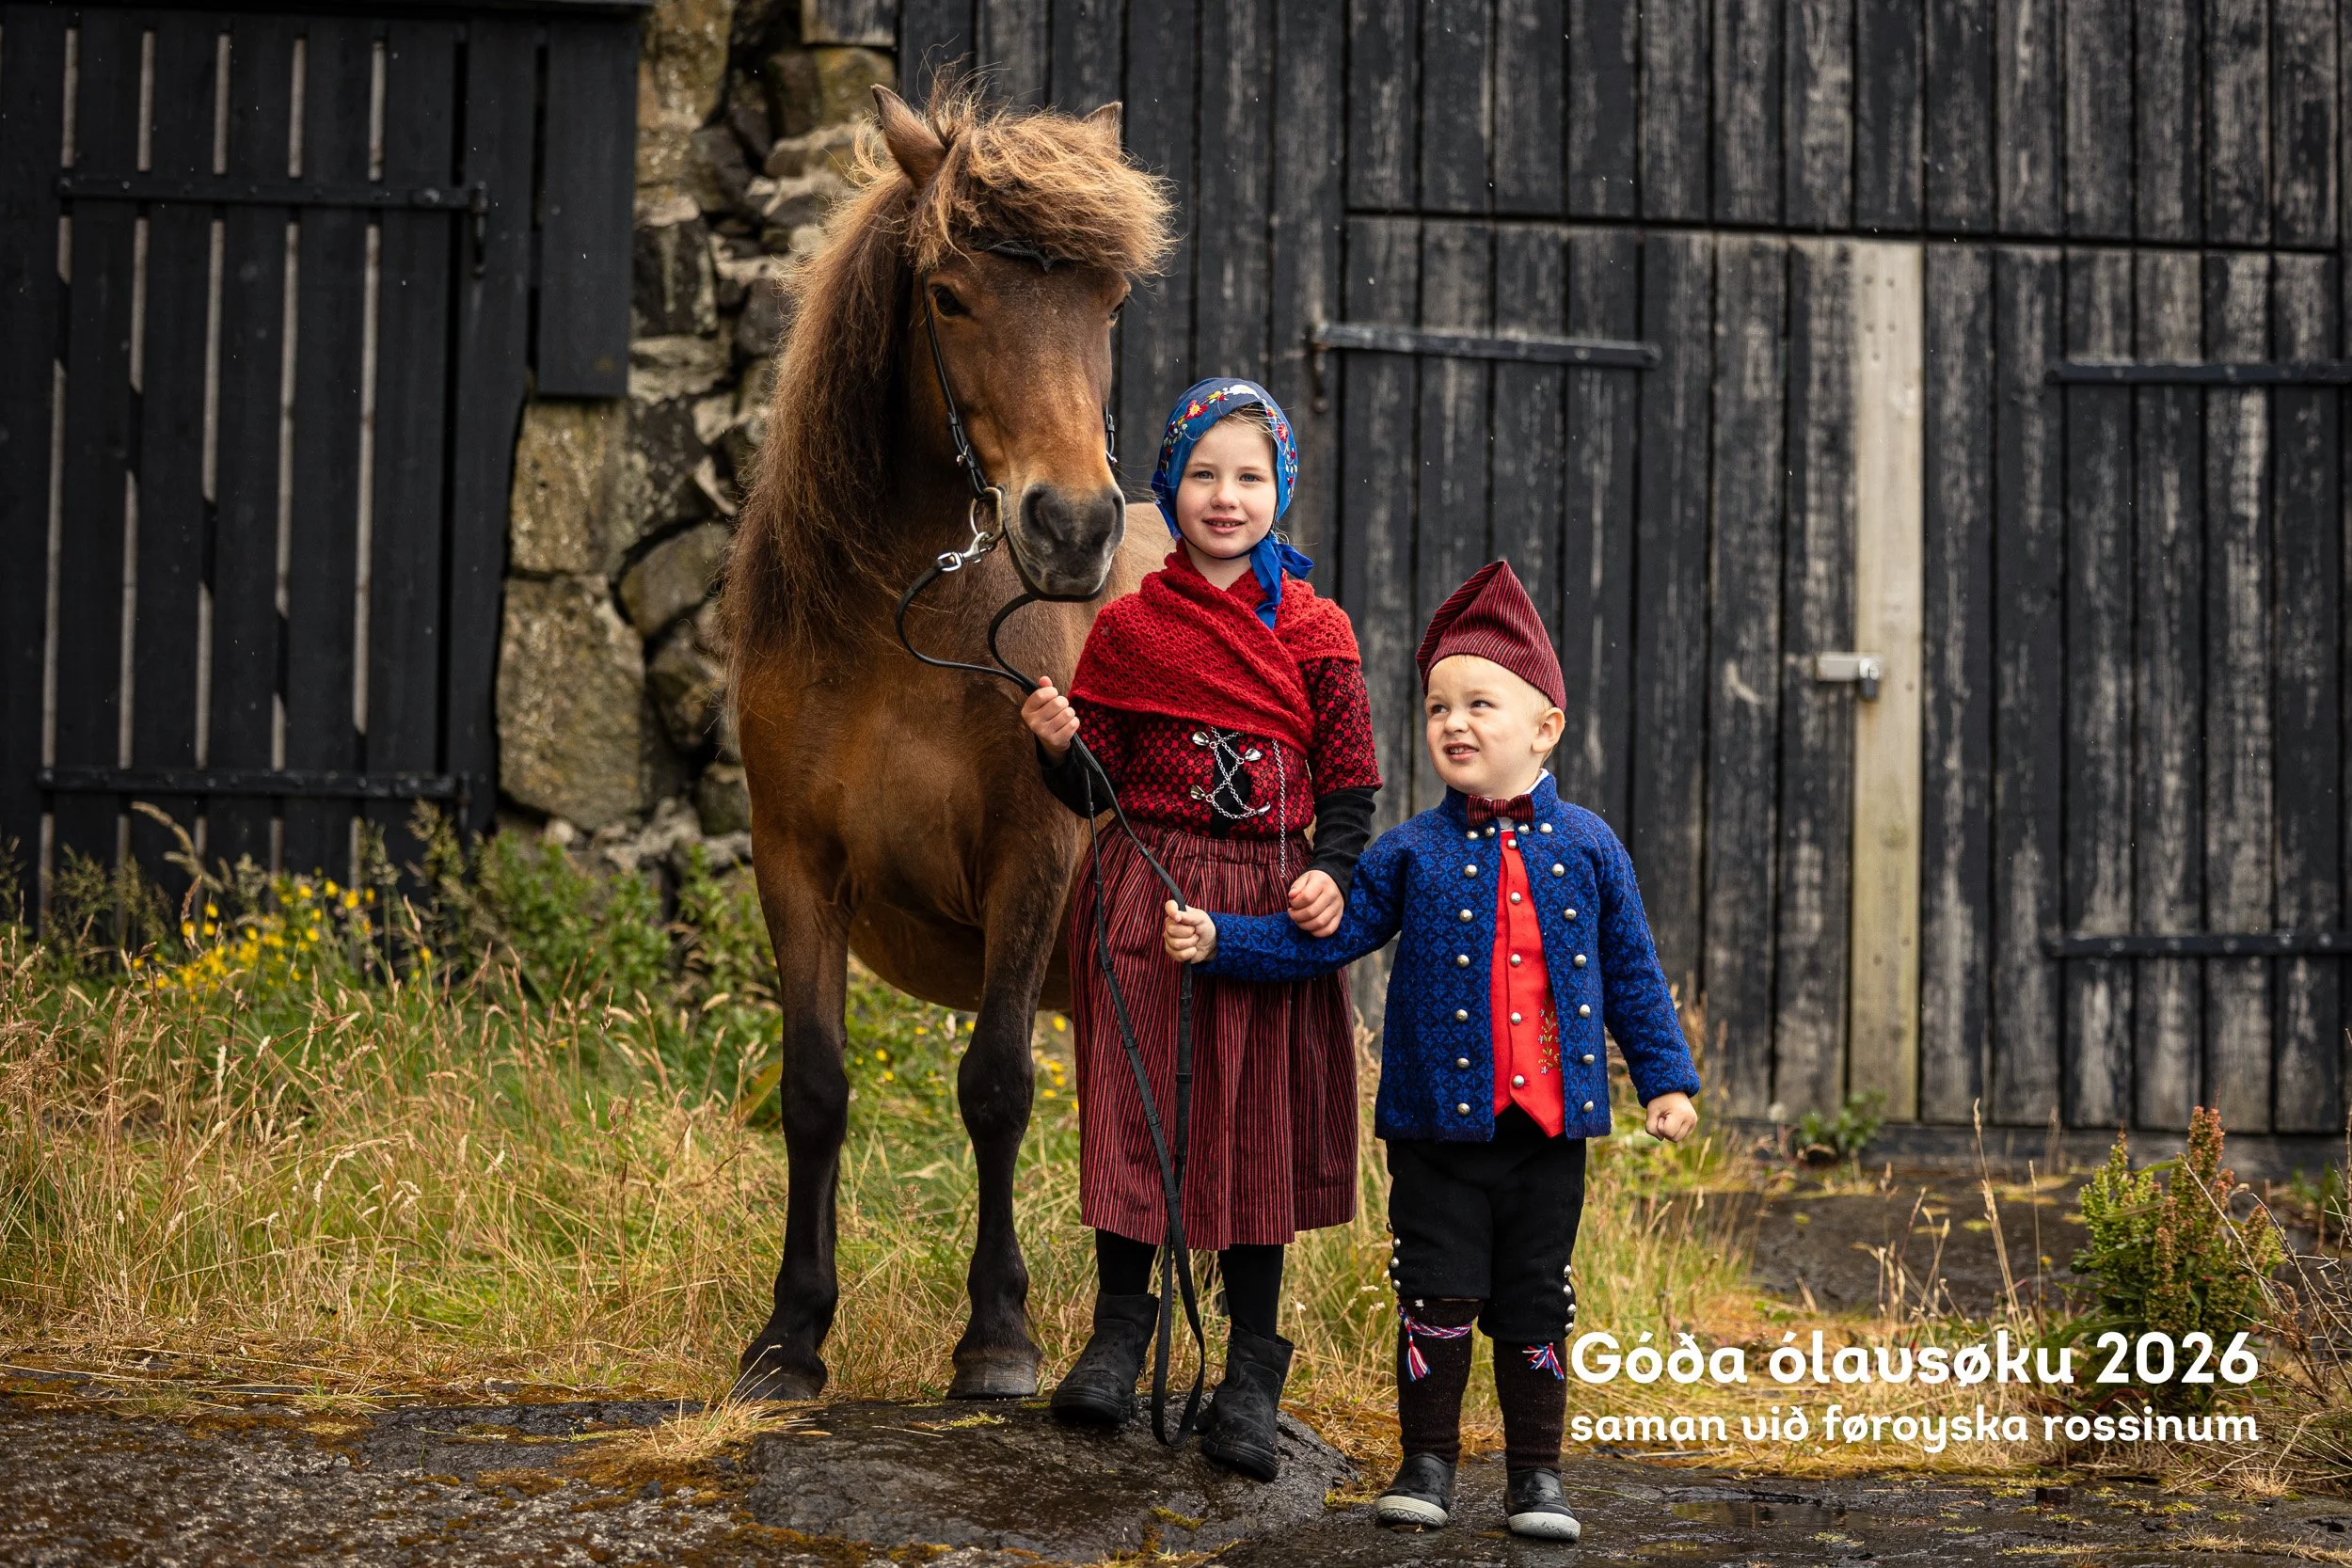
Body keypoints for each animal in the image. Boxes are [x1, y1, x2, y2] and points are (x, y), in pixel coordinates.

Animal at [722, 81, 1176, 1401]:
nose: (1070, 527)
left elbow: (995, 1087)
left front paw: (998, 1336)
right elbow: (814, 1089)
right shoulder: (795, 862)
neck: (907, 630)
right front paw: (791, 1334)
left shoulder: (1033, 858)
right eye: (948, 293)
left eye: (1109, 303)